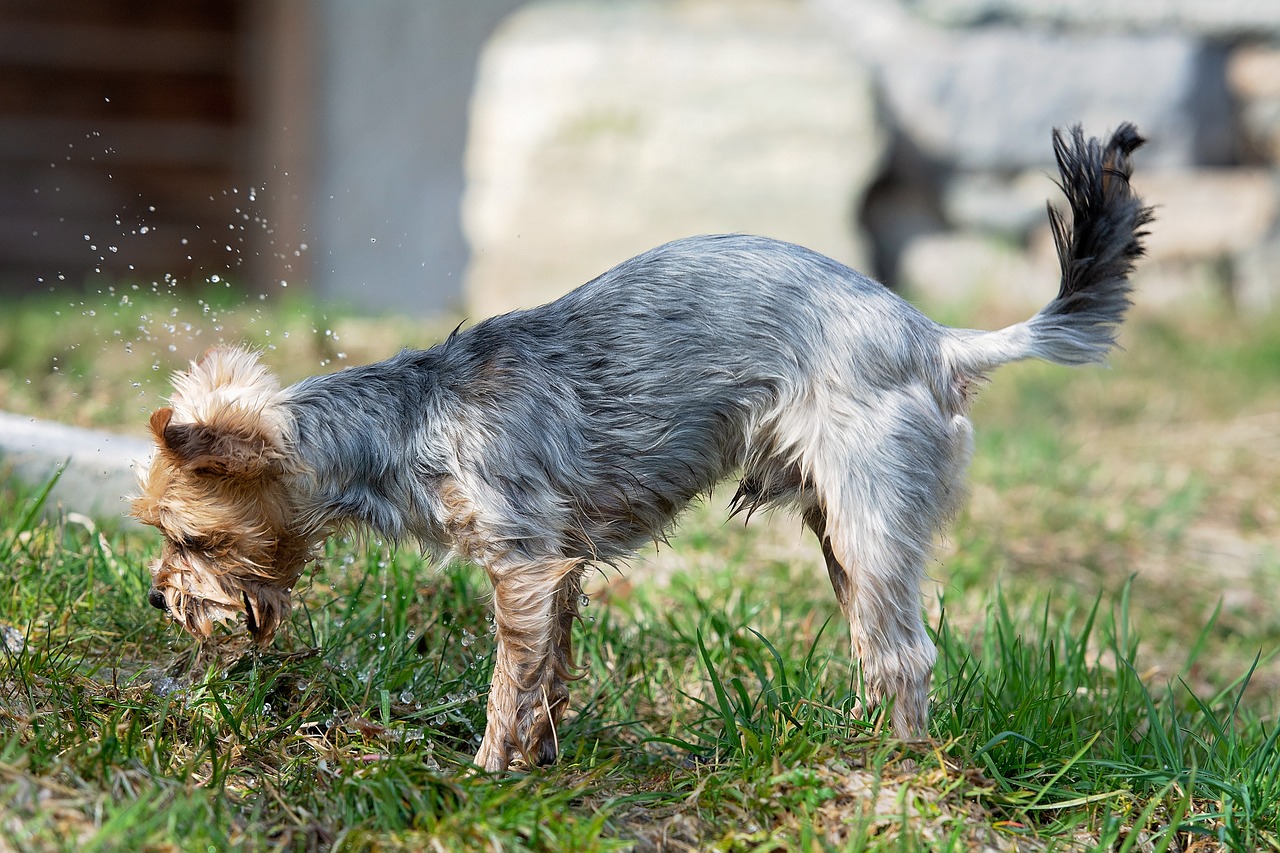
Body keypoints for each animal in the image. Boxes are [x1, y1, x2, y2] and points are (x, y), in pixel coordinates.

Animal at [129, 124, 1152, 768]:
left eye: (188, 538)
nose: (154, 596)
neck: (408, 420)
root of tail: (940, 341)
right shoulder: (560, 571)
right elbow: (548, 675)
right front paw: (541, 759)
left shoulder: (522, 565)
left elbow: (508, 680)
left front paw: (487, 771)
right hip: (837, 524)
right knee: (878, 642)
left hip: (868, 510)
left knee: (907, 654)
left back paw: (893, 766)